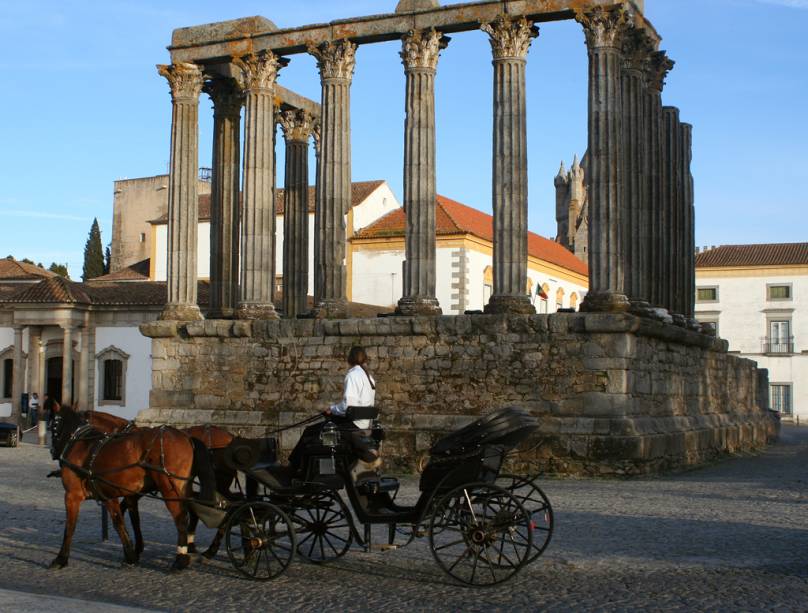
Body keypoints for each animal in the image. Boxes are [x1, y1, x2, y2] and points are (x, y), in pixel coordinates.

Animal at [49, 406, 216, 568]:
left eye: (54, 426)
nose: (53, 452)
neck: (84, 446)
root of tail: (187, 437)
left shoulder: (72, 495)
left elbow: (70, 527)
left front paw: (61, 559)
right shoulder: (112, 495)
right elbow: (123, 521)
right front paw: (132, 553)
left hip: (169, 489)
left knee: (181, 518)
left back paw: (181, 558)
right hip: (183, 487)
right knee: (194, 507)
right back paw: (193, 546)